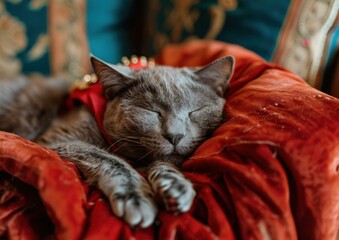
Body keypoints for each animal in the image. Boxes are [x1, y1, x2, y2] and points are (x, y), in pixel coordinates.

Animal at [0, 55, 234, 228]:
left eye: (195, 111)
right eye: (151, 111)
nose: (175, 135)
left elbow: (168, 161)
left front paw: (175, 185)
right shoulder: (57, 139)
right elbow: (109, 159)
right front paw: (135, 197)